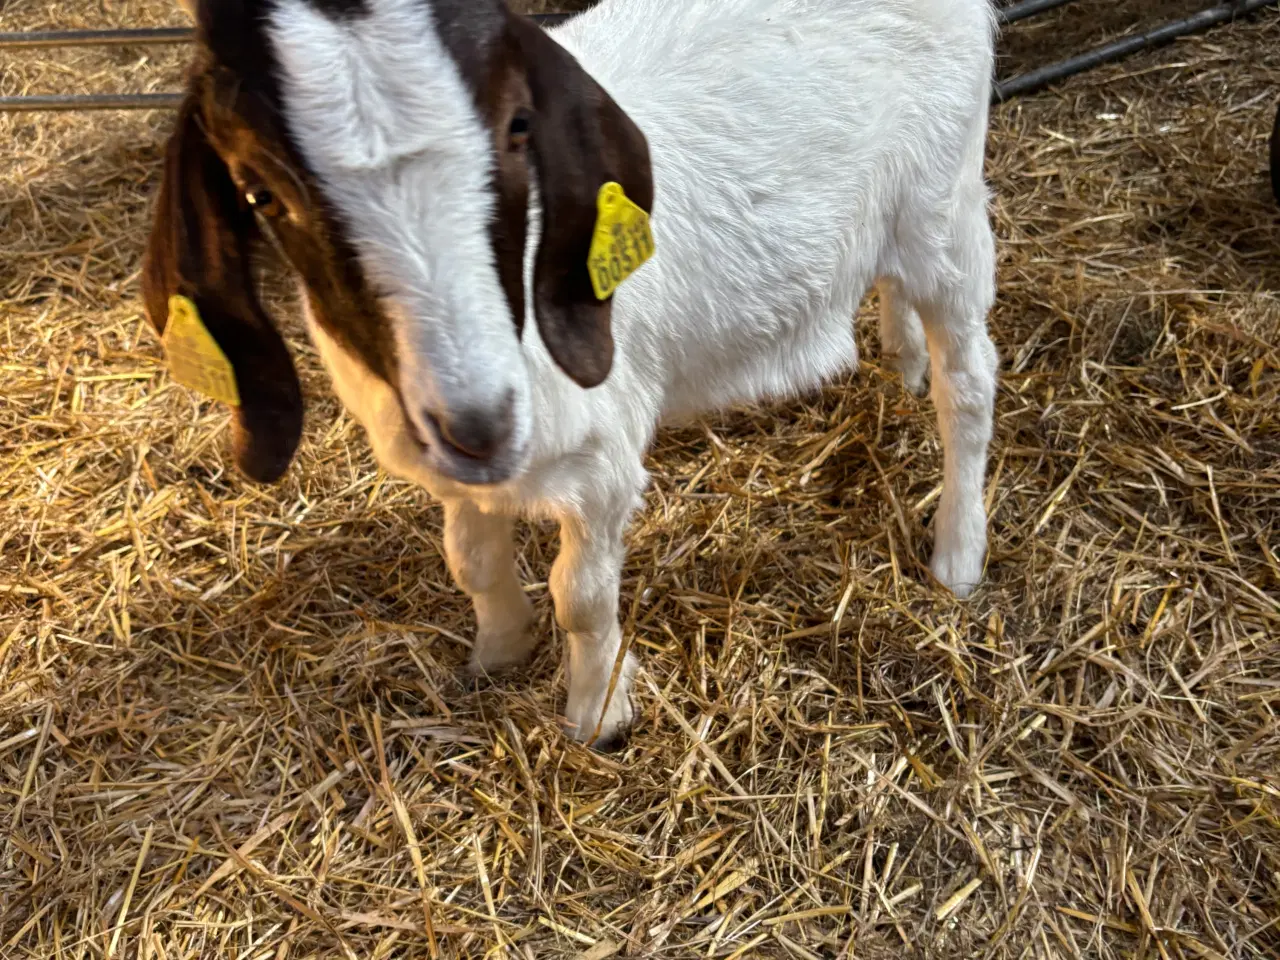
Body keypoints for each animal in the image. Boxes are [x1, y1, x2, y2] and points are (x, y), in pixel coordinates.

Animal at [142, 0, 998, 752]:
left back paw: (957, 554)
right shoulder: (449, 466)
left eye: (517, 129)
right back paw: (902, 360)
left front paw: (598, 715)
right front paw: (496, 654)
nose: (480, 422)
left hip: (943, 206)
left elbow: (580, 597)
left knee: (969, 384)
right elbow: (472, 559)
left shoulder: (599, 462)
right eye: (259, 191)